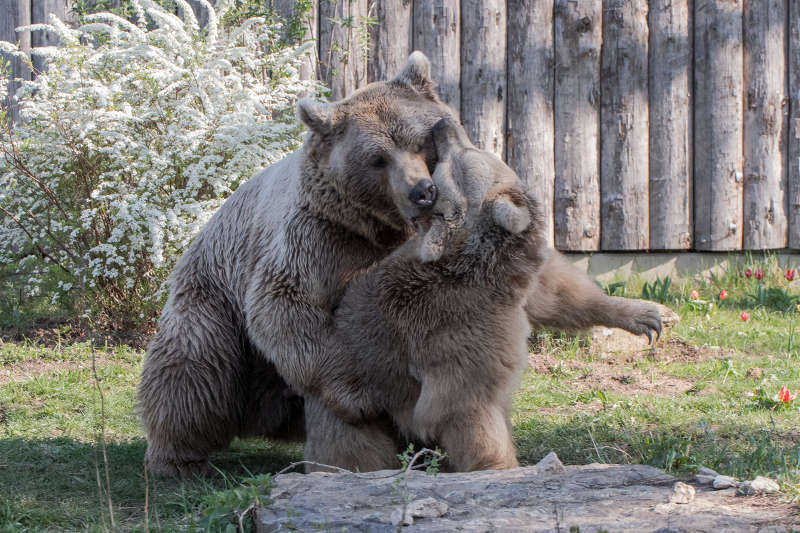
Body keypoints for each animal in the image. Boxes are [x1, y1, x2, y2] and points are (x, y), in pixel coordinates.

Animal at [138, 52, 664, 476]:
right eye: (377, 158)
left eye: (419, 140)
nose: (422, 191)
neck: (389, 230)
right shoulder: (320, 240)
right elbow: (287, 306)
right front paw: (363, 399)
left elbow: (550, 289)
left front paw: (644, 315)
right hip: (213, 305)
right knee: (193, 375)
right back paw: (178, 459)